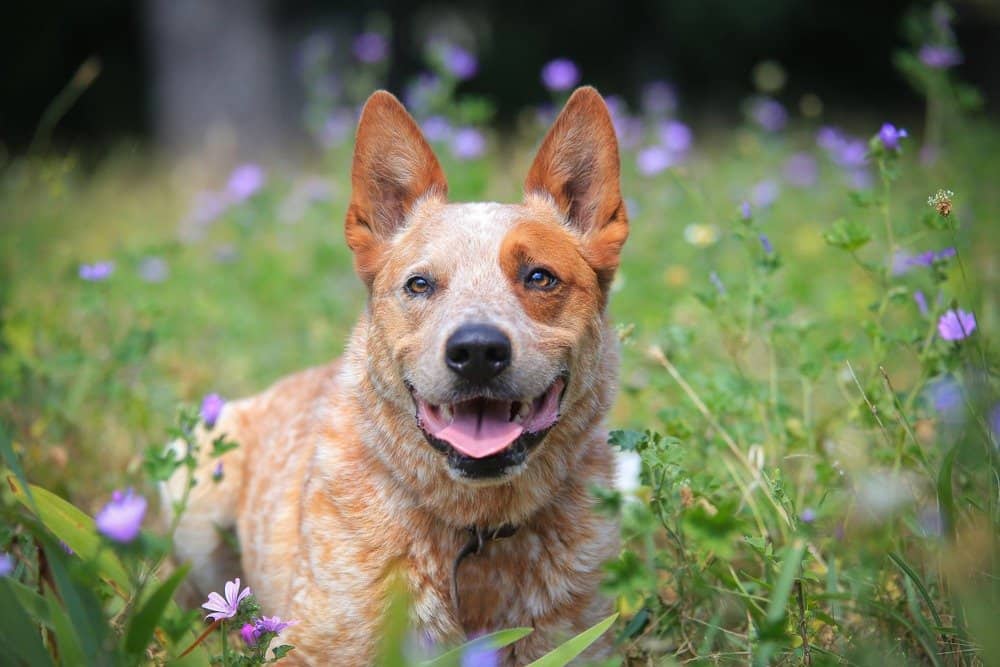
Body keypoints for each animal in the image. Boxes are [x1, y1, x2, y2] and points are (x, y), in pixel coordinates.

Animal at [167, 85, 628, 664]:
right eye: (419, 284)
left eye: (540, 277)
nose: (477, 350)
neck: (474, 534)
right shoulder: (315, 646)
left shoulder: (582, 641)